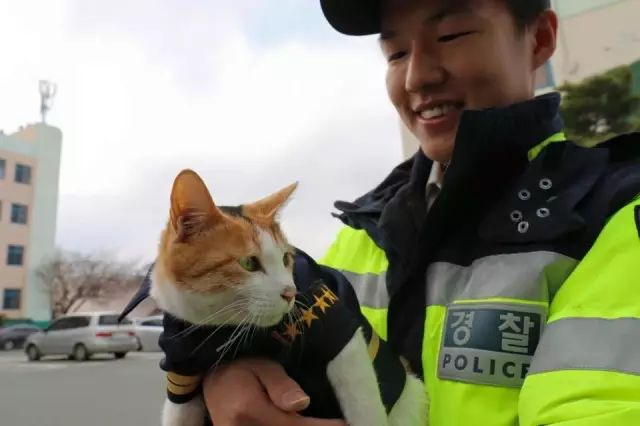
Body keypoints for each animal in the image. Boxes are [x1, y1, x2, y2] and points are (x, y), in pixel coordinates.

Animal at [149, 170, 428, 426]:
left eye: (285, 258)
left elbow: (364, 405)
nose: (290, 292)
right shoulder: (182, 364)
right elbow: (178, 413)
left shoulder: (337, 330)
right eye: (249, 263)